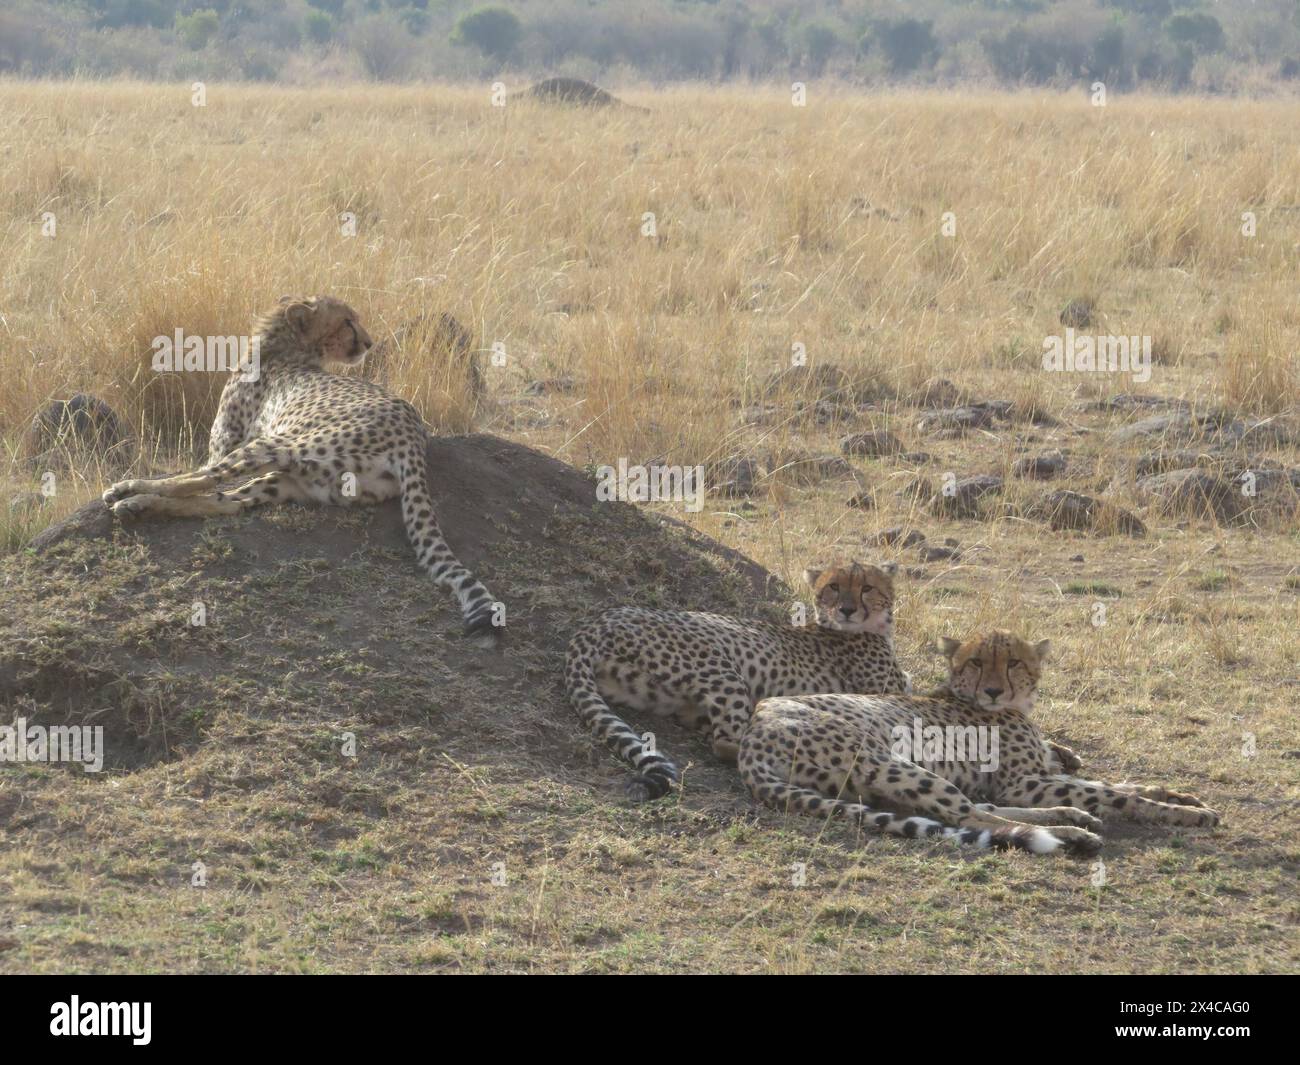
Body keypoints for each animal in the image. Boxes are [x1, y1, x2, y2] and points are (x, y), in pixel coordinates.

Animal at [102, 291, 501, 644]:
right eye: (347, 322)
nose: (369, 342)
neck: (284, 349)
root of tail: (415, 436)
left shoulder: (225, 445)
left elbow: (198, 472)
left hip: (274, 446)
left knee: (200, 482)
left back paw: (130, 494)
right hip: (295, 480)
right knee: (227, 502)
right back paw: (139, 504)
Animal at [564, 566, 1081, 801]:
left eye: (867, 587)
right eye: (834, 586)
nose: (848, 608)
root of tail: (599, 618)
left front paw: (1061, 752)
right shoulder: (884, 693)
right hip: (722, 668)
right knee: (727, 740)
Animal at [743, 631, 1216, 858]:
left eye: (1013, 662)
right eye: (975, 662)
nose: (992, 690)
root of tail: (754, 732)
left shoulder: (1038, 774)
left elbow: (1116, 785)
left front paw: (1177, 795)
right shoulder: (1022, 782)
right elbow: (1114, 794)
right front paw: (1187, 814)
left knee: (979, 809)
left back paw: (1070, 817)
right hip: (889, 761)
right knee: (971, 815)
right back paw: (1071, 832)